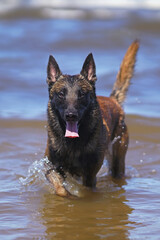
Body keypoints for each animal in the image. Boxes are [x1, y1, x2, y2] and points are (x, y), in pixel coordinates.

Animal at [44, 40, 139, 196]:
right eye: (61, 94)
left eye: (81, 94)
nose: (71, 115)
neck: (72, 144)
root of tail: (114, 100)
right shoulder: (51, 167)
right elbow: (59, 186)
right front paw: (67, 195)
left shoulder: (89, 176)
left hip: (118, 160)